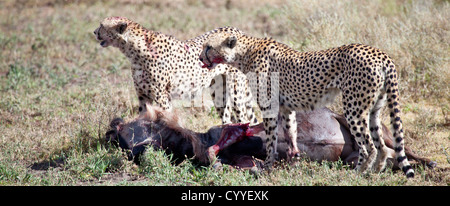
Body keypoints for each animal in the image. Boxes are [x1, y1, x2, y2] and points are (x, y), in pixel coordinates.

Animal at [93, 16, 258, 124]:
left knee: (244, 119)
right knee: (228, 119)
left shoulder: (162, 96)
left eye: (101, 25)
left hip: (236, 91)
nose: (94, 32)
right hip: (219, 92)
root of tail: (237, 30)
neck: (132, 50)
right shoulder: (143, 95)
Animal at [200, 30, 414, 177]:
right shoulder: (286, 108)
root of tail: (380, 52)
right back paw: (375, 172)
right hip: (374, 110)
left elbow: (271, 140)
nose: (201, 57)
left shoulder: (269, 107)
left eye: (208, 47)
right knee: (382, 146)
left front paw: (268, 167)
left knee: (368, 146)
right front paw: (293, 164)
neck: (244, 52)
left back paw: (358, 173)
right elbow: (291, 135)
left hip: (354, 109)